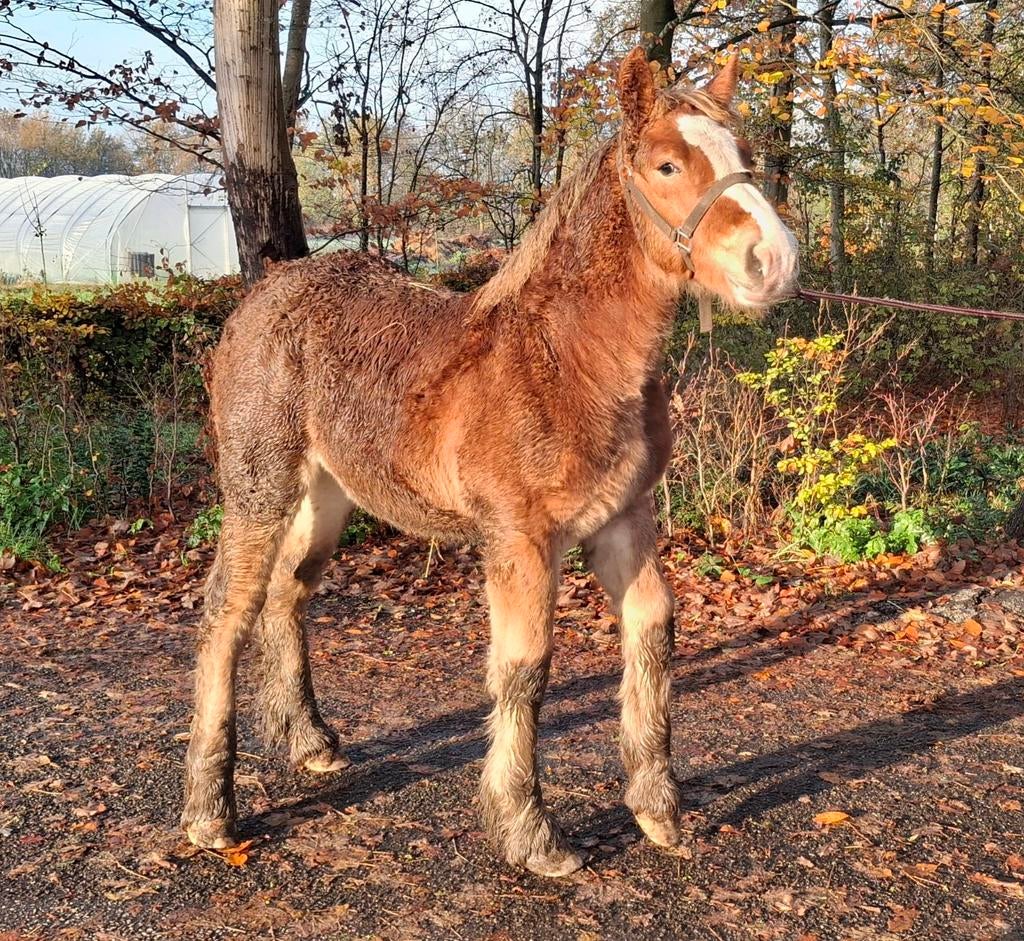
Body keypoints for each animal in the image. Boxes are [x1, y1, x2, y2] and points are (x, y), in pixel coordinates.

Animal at [181, 47, 799, 878]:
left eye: (745, 155)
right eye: (668, 164)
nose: (773, 260)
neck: (565, 360)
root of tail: (269, 286)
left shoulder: (624, 518)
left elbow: (652, 631)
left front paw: (658, 808)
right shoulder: (519, 537)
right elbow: (525, 667)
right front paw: (530, 831)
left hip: (327, 492)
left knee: (287, 590)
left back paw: (309, 741)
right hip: (259, 484)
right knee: (227, 611)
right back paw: (210, 812)